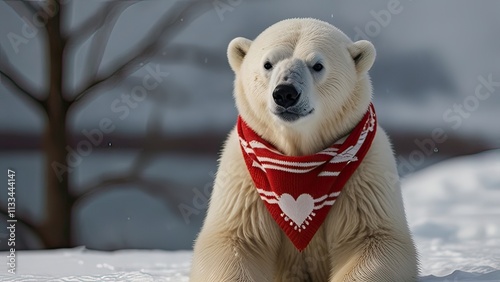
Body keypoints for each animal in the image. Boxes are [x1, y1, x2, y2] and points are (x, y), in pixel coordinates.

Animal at [191, 18, 418, 282]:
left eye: (317, 65)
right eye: (268, 63)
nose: (285, 93)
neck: (299, 156)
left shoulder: (366, 173)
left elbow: (372, 238)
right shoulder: (244, 177)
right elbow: (234, 240)